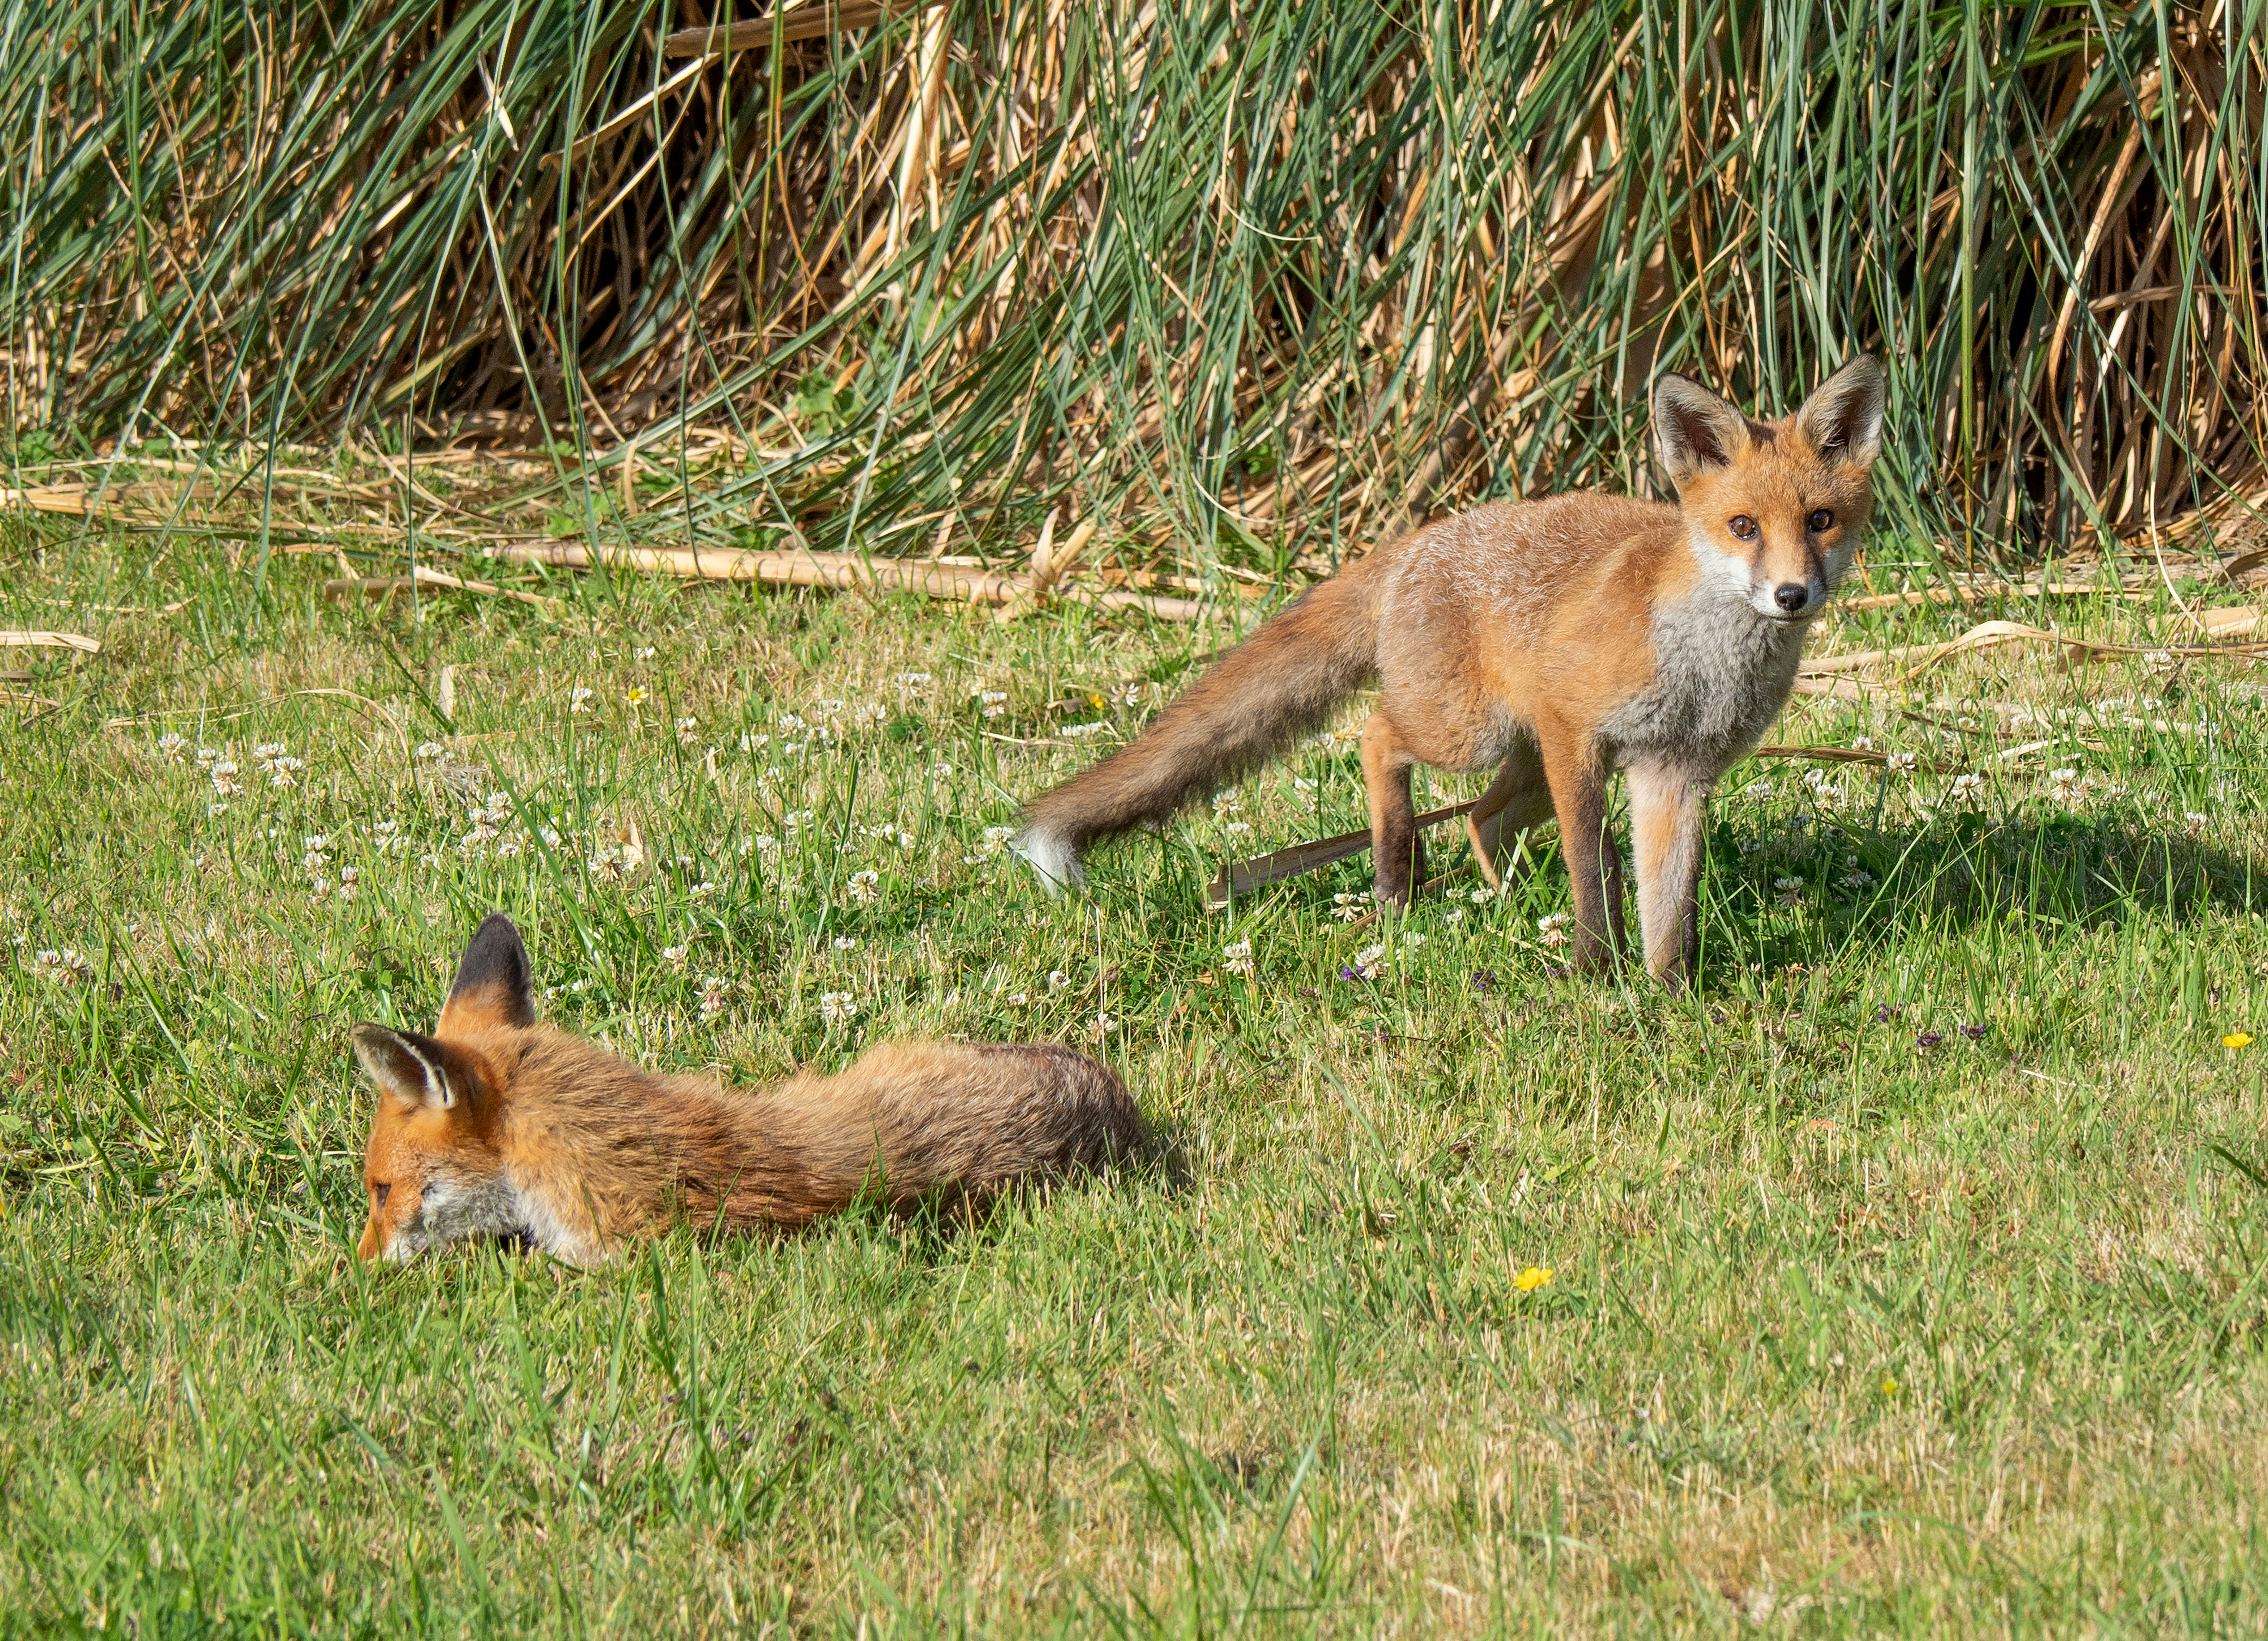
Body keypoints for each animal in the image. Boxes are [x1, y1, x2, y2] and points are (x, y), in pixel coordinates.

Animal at [1016, 357, 1887, 989]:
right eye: (1742, 527)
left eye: (1819, 521)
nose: (1790, 595)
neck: (1703, 662)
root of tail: (1416, 539)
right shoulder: (1577, 735)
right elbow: (1593, 868)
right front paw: (1592, 971)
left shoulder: (1672, 773)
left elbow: (1667, 902)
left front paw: (1669, 991)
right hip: (1475, 734)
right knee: (1376, 737)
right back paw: (1396, 881)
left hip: (1521, 759)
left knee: (1480, 819)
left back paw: (1499, 903)